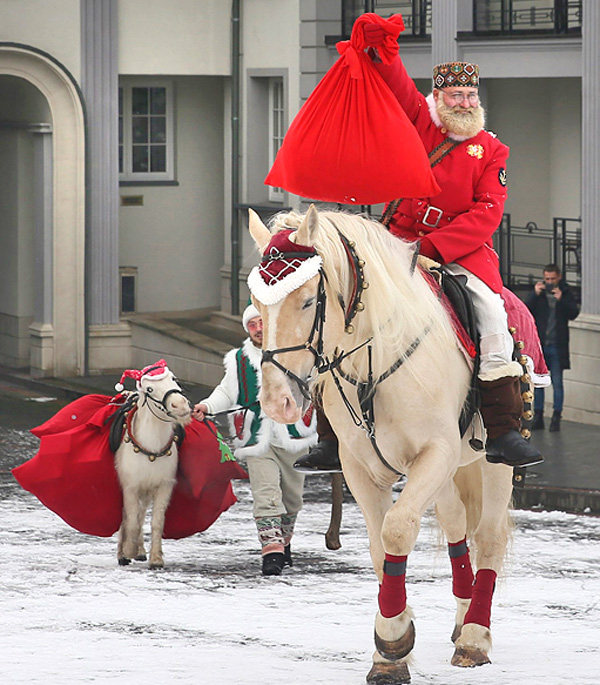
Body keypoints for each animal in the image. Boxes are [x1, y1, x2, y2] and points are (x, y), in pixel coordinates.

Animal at [115, 360, 192, 568]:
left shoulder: (163, 486)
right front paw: (127, 551)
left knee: (141, 514)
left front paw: (156, 559)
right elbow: (131, 520)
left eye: (173, 378)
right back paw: (123, 553)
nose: (180, 405)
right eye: (149, 389)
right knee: (128, 517)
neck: (151, 449)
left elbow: (157, 522)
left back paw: (141, 550)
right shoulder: (130, 487)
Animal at [248, 207, 516, 684]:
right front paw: (392, 647)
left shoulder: (435, 454)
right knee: (455, 522)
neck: (373, 361)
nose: (278, 402)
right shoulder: (361, 468)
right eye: (258, 305)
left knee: (488, 537)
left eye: (306, 301)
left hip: (490, 462)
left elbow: (396, 530)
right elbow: (378, 547)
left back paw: (474, 635)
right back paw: (463, 613)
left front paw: (392, 639)